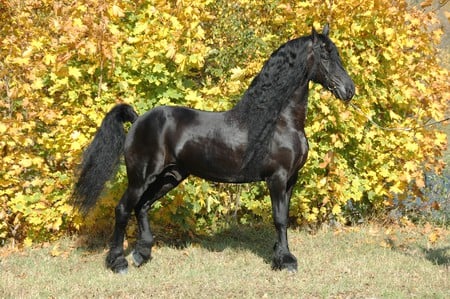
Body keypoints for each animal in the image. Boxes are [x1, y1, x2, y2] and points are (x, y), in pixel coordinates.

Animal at [74, 25, 356, 274]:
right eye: (325, 56)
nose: (349, 90)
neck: (280, 122)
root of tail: (138, 119)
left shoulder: (291, 179)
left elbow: (283, 216)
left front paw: (280, 255)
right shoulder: (277, 178)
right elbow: (280, 218)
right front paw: (285, 261)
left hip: (170, 176)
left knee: (142, 207)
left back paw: (141, 254)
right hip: (141, 177)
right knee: (123, 209)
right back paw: (118, 262)